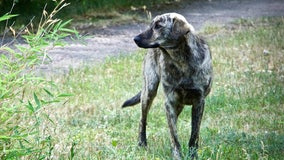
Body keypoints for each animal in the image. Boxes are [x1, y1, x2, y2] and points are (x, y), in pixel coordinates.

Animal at [122, 12, 213, 159]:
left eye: (158, 26)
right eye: (151, 25)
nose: (135, 39)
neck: (181, 61)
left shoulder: (199, 102)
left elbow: (194, 134)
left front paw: (193, 155)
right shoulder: (170, 102)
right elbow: (174, 137)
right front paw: (177, 155)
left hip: (178, 104)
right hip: (149, 91)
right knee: (143, 120)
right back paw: (142, 143)